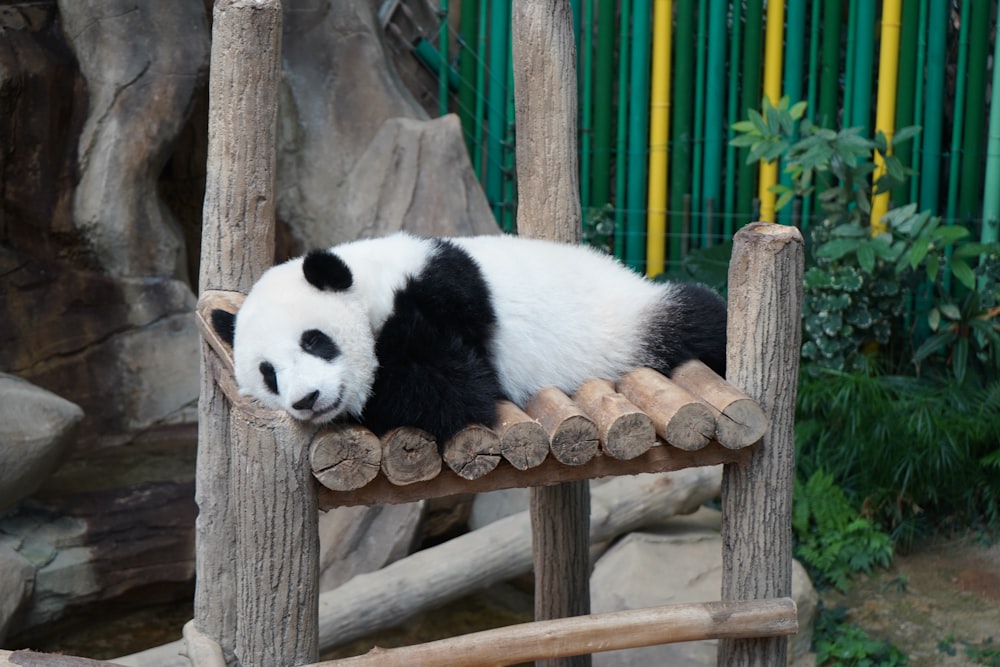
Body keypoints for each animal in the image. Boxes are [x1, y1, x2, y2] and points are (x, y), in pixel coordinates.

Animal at [211, 232, 728, 446]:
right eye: (269, 374)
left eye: (314, 341)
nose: (306, 399)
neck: (373, 284)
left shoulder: (443, 296)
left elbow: (455, 389)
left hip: (630, 322)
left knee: (700, 319)